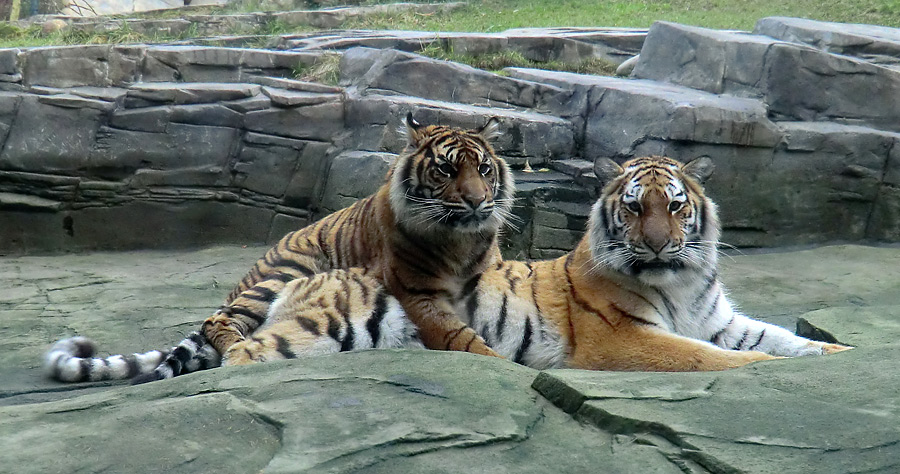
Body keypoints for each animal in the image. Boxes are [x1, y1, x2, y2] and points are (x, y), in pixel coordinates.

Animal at [44, 115, 512, 386]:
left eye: (483, 168)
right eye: (446, 169)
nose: (476, 201)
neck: (462, 239)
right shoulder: (416, 293)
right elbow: (460, 338)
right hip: (286, 273)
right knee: (220, 322)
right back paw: (249, 351)